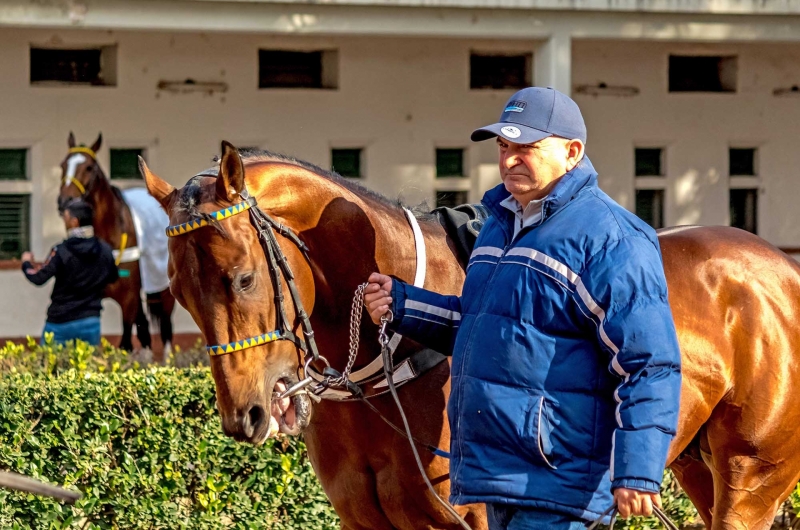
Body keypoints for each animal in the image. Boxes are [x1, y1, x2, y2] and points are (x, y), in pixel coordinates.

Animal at [59, 132, 177, 354]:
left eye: (89, 167)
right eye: (63, 165)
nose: (64, 202)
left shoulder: (128, 298)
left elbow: (125, 343)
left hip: (163, 289)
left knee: (165, 327)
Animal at [141, 141, 800, 528]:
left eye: (244, 277)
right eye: (177, 291)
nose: (247, 415)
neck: (396, 364)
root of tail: (782, 268)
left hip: (752, 476)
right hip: (695, 464)